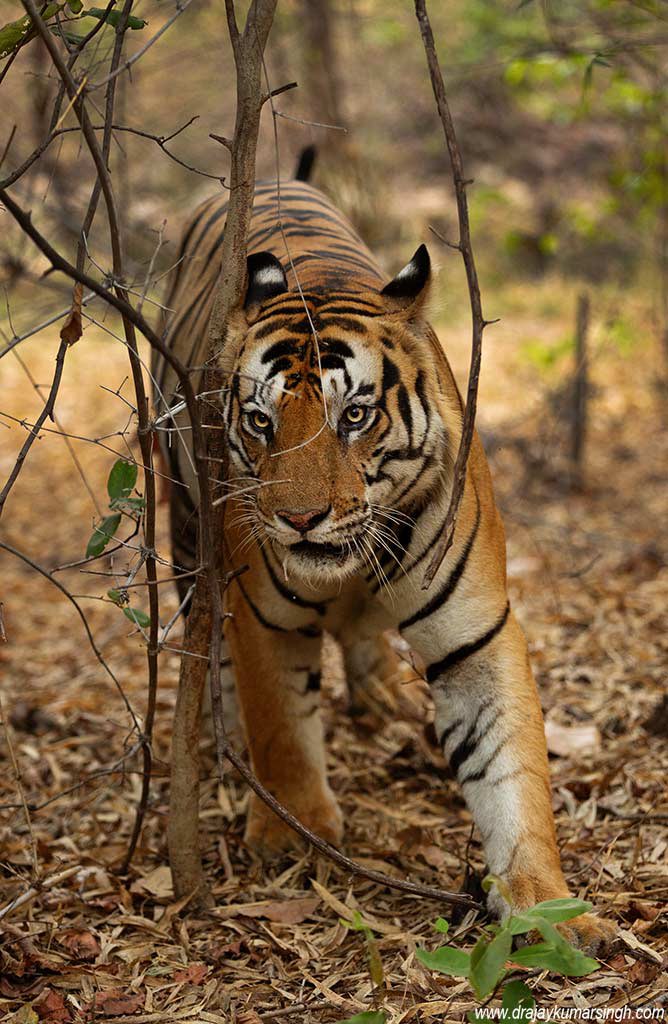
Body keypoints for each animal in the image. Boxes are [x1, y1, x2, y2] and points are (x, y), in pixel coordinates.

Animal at [153, 153, 613, 951]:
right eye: (260, 422)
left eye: (355, 416)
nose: (299, 518)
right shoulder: (264, 616)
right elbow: (282, 727)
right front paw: (294, 834)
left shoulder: (477, 633)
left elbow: (510, 769)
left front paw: (546, 903)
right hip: (183, 518)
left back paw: (379, 693)